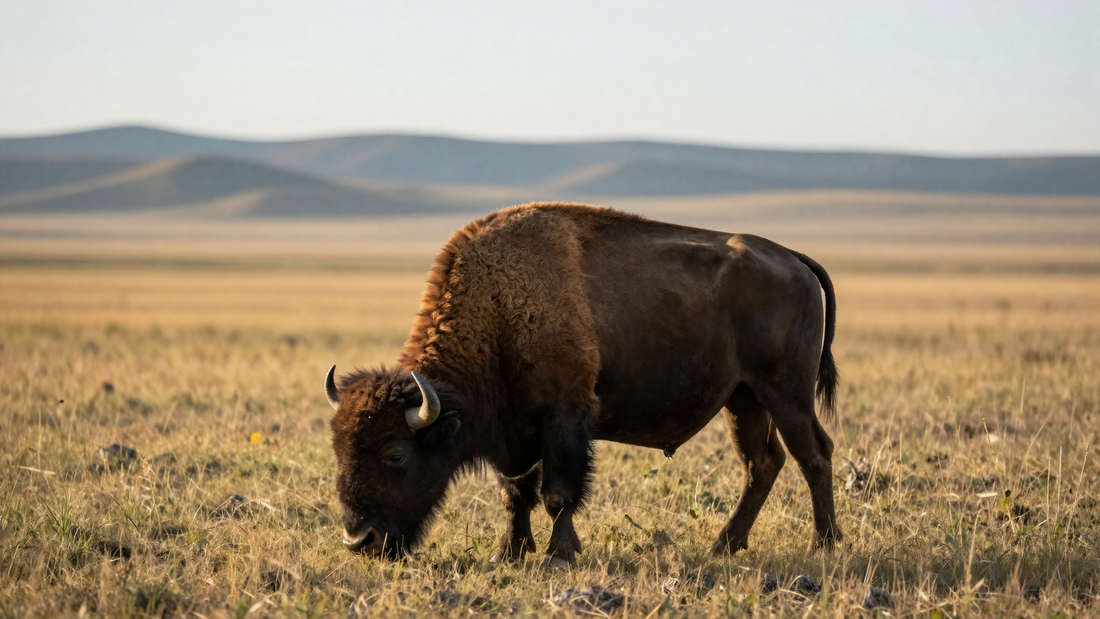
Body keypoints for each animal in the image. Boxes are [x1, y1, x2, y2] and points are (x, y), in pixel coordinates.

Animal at [327, 203, 840, 566]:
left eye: (396, 454)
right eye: (339, 449)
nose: (360, 540)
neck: (500, 309)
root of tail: (793, 259)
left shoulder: (564, 419)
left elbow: (557, 493)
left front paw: (559, 555)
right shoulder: (515, 433)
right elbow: (516, 492)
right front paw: (507, 553)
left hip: (785, 393)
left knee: (813, 455)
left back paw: (823, 545)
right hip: (744, 399)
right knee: (763, 463)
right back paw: (724, 546)